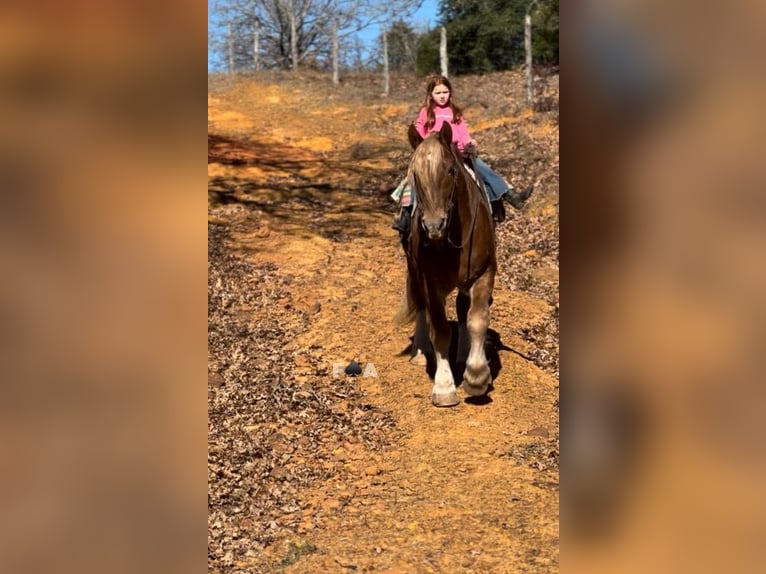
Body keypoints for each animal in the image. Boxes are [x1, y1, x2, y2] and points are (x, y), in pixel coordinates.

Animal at [396, 124, 498, 408]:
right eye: (415, 174)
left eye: (450, 170)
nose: (433, 225)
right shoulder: (429, 280)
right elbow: (440, 330)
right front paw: (444, 387)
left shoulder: (483, 274)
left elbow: (476, 319)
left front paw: (476, 377)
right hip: (414, 271)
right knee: (421, 307)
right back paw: (420, 352)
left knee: (464, 311)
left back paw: (464, 355)